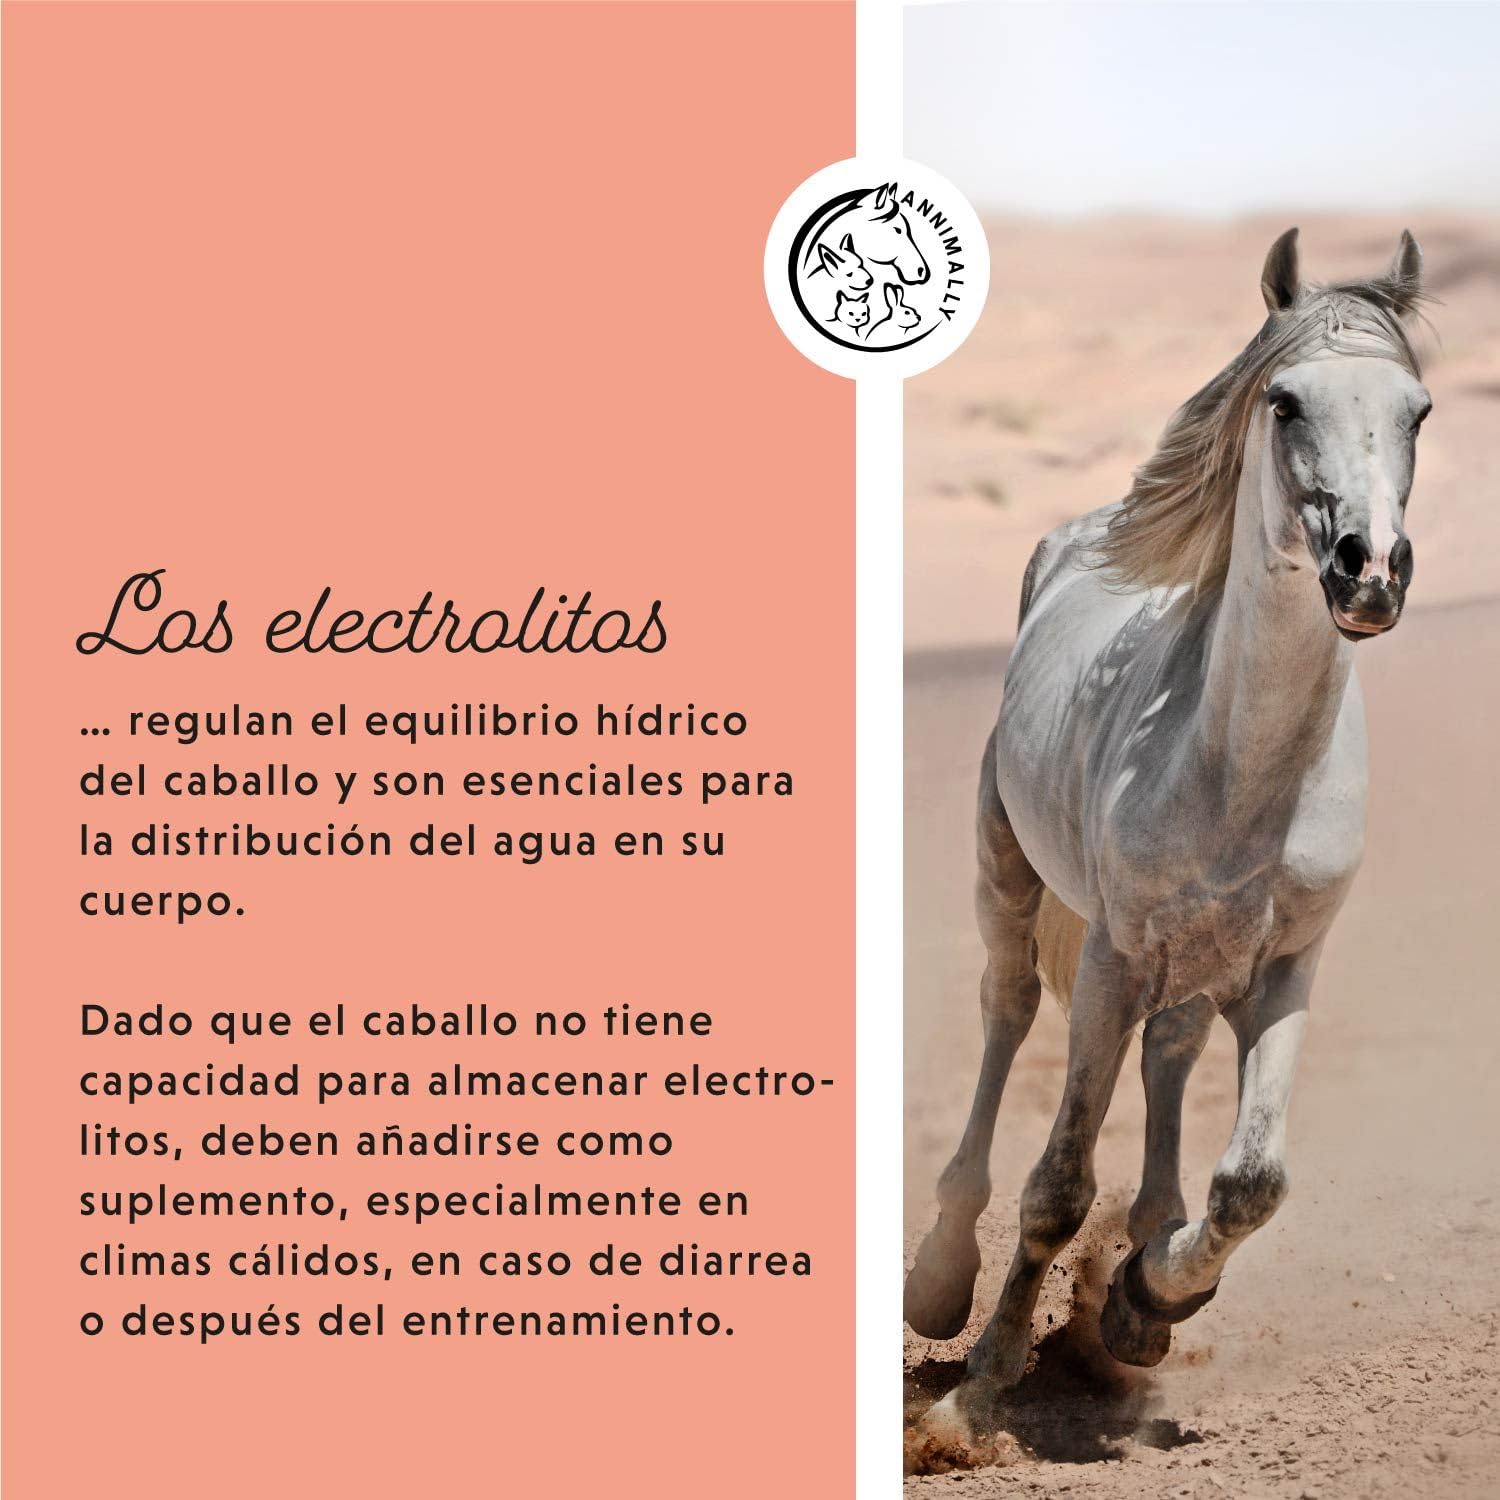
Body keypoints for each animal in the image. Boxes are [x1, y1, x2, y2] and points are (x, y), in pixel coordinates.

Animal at [905, 228, 1431, 1445]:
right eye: (1285, 401)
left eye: (1419, 411)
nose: (1367, 570)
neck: (1240, 770)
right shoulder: (1111, 958)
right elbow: (1057, 1184)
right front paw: (979, 1391)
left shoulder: (1286, 967)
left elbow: (1253, 1182)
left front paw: (1149, 1299)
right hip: (1010, 882)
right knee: (1008, 1017)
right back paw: (941, 1280)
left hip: (1198, 967)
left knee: (1173, 1055)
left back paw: (1147, 1255)